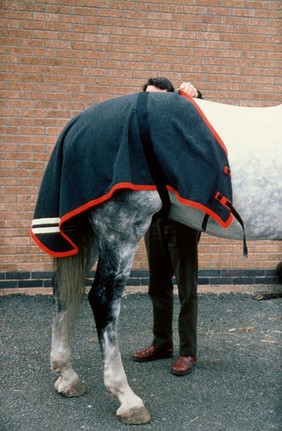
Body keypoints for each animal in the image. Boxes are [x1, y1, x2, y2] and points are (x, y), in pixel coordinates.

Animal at [31, 91, 282, 426]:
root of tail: (78, 124)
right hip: (121, 229)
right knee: (103, 300)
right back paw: (127, 398)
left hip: (90, 234)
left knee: (63, 293)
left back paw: (67, 377)